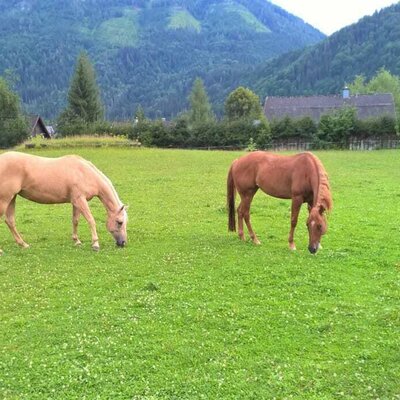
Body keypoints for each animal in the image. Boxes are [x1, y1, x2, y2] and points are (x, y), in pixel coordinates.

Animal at [0, 152, 128, 255]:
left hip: (12, 198)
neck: (84, 173)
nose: (122, 243)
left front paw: (77, 241)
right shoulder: (80, 200)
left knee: (10, 221)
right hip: (5, 199)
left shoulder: (76, 202)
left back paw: (23, 244)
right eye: (119, 222)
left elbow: (75, 220)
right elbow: (91, 220)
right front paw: (95, 245)